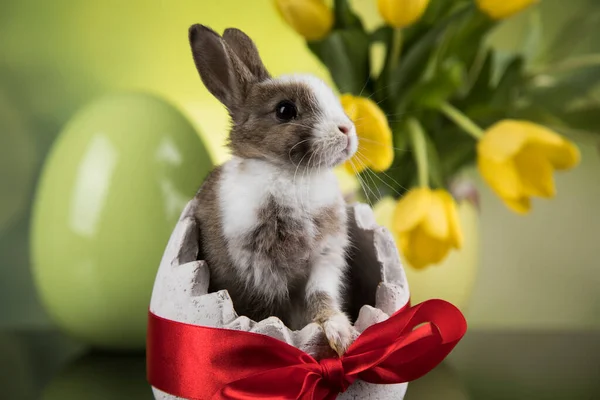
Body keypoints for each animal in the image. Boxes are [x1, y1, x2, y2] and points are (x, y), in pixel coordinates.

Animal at [191, 25, 360, 354]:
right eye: (285, 110)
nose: (347, 130)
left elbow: (322, 298)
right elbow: (268, 315)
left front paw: (341, 336)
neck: (293, 176)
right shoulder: (255, 274)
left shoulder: (325, 260)